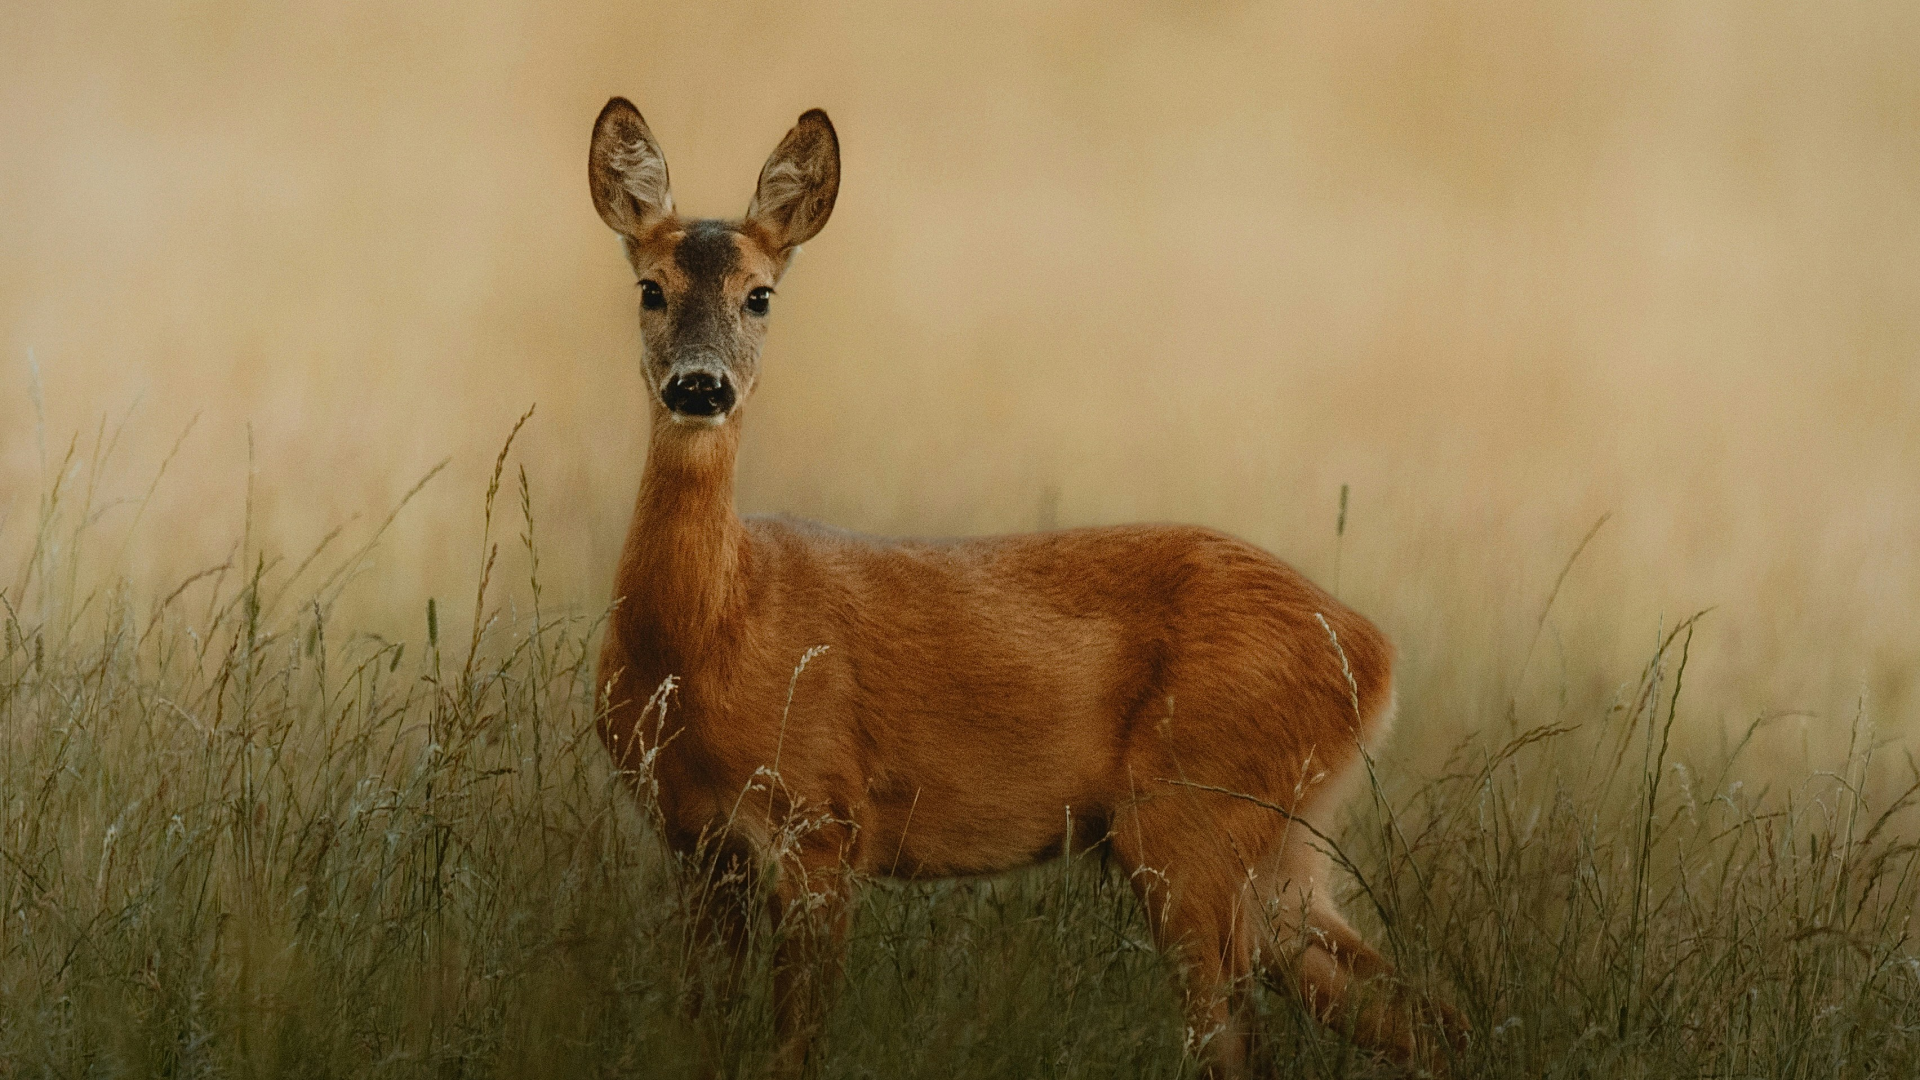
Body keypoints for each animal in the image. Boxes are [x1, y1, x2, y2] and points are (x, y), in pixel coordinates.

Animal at [588, 98, 1461, 1078]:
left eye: (760, 294)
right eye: (650, 288)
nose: (700, 385)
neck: (708, 637)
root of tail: (1376, 655)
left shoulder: (821, 819)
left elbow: (795, 1046)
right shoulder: (694, 842)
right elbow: (699, 1033)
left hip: (1195, 814)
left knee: (1242, 1042)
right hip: (1280, 842)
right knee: (1425, 1012)